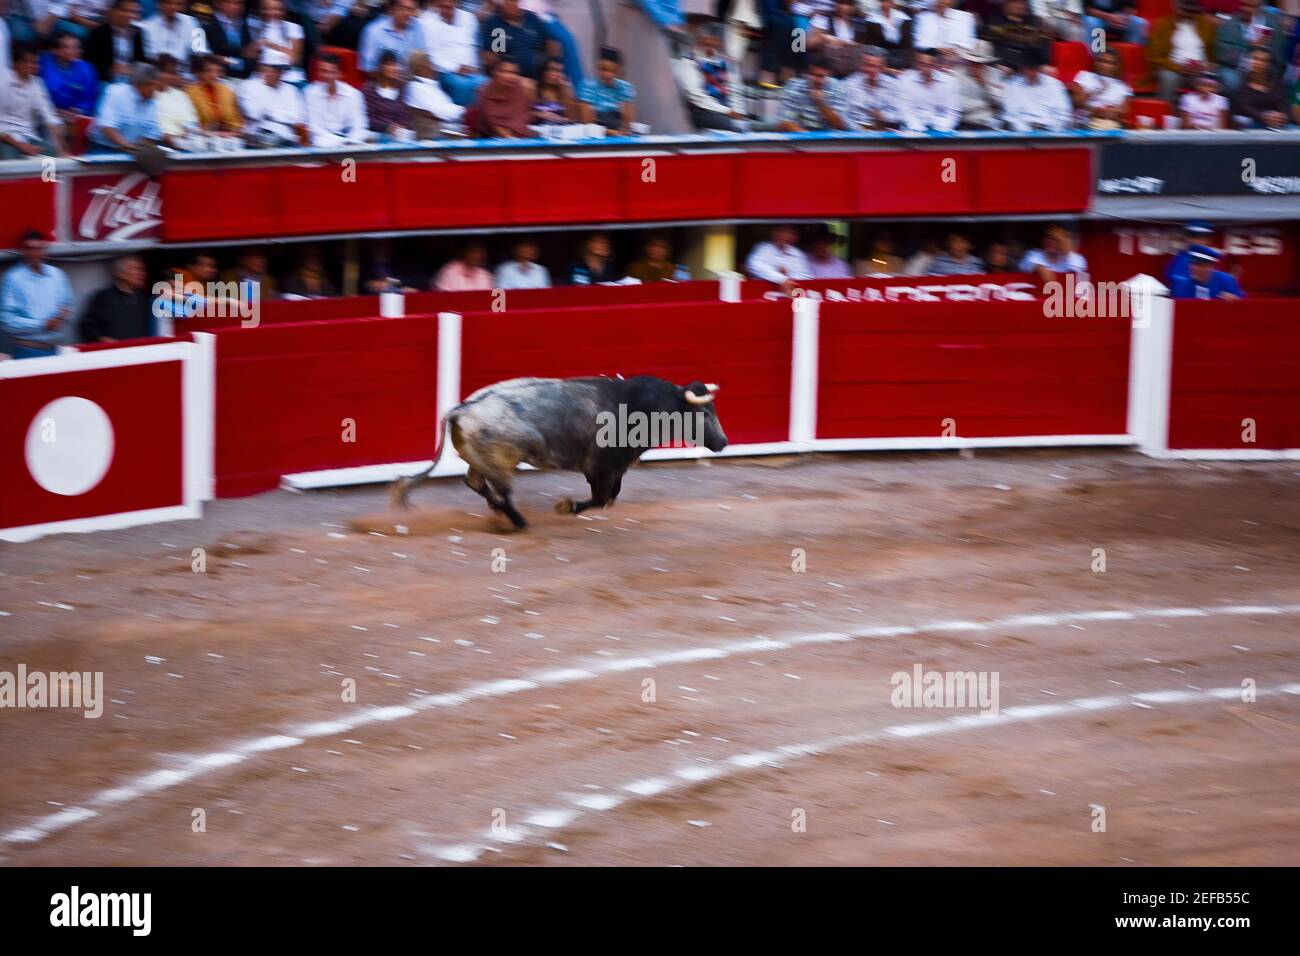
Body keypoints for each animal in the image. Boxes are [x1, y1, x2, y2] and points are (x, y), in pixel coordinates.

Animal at [384, 374, 733, 530]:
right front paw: (567, 507)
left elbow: (611, 496)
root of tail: (462, 408)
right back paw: (518, 520)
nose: (723, 442)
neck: (641, 406)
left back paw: (500, 511)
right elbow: (602, 497)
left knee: (475, 483)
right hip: (501, 463)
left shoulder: (616, 467)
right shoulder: (599, 467)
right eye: (705, 413)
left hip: (479, 460)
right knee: (501, 490)